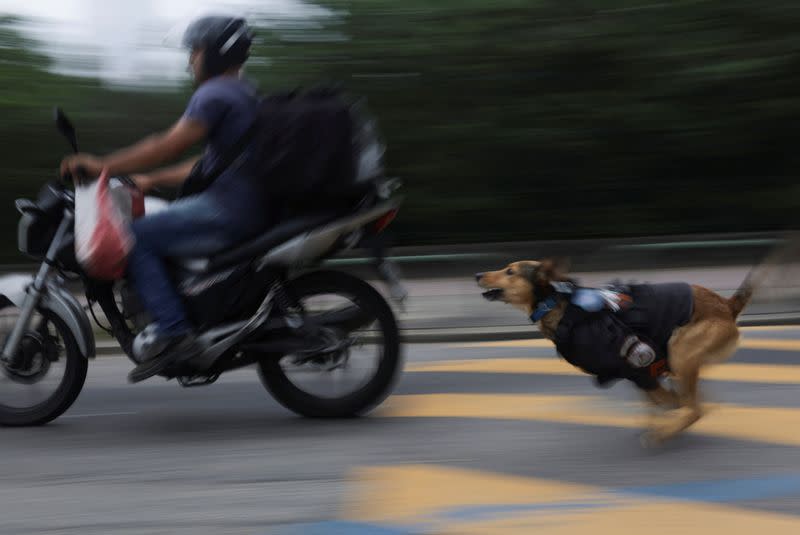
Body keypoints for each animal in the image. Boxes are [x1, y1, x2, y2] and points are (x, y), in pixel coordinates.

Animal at [478, 260, 760, 448]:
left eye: (510, 271)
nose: (478, 274)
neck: (560, 306)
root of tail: (726, 305)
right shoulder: (641, 374)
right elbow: (658, 402)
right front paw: (656, 419)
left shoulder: (639, 367)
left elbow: (667, 401)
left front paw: (660, 424)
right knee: (696, 402)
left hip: (680, 351)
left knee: (695, 408)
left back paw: (664, 433)